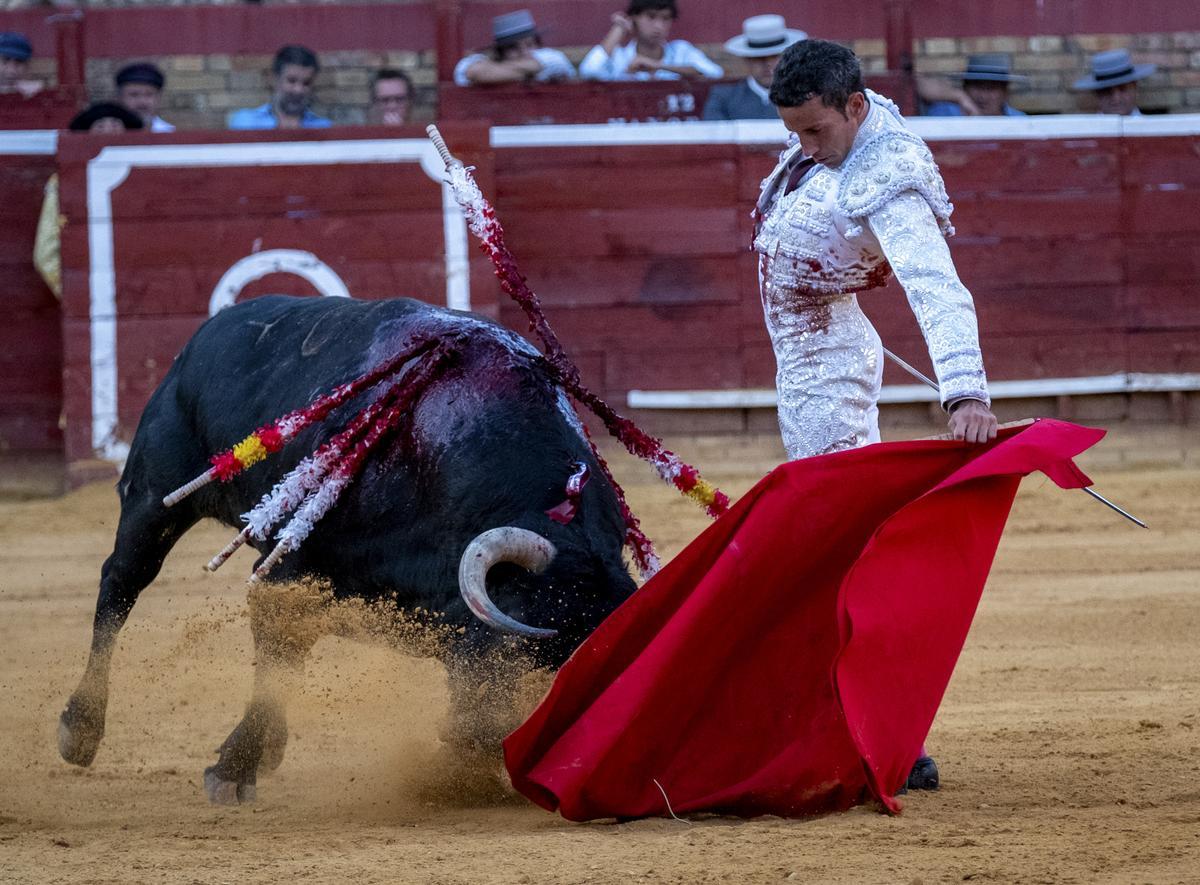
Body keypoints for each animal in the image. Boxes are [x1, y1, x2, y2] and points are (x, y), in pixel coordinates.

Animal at [56, 295, 638, 801]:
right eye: (516, 654)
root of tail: (206, 335)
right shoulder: (290, 569)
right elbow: (279, 656)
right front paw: (234, 767)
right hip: (153, 497)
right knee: (121, 584)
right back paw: (79, 730)